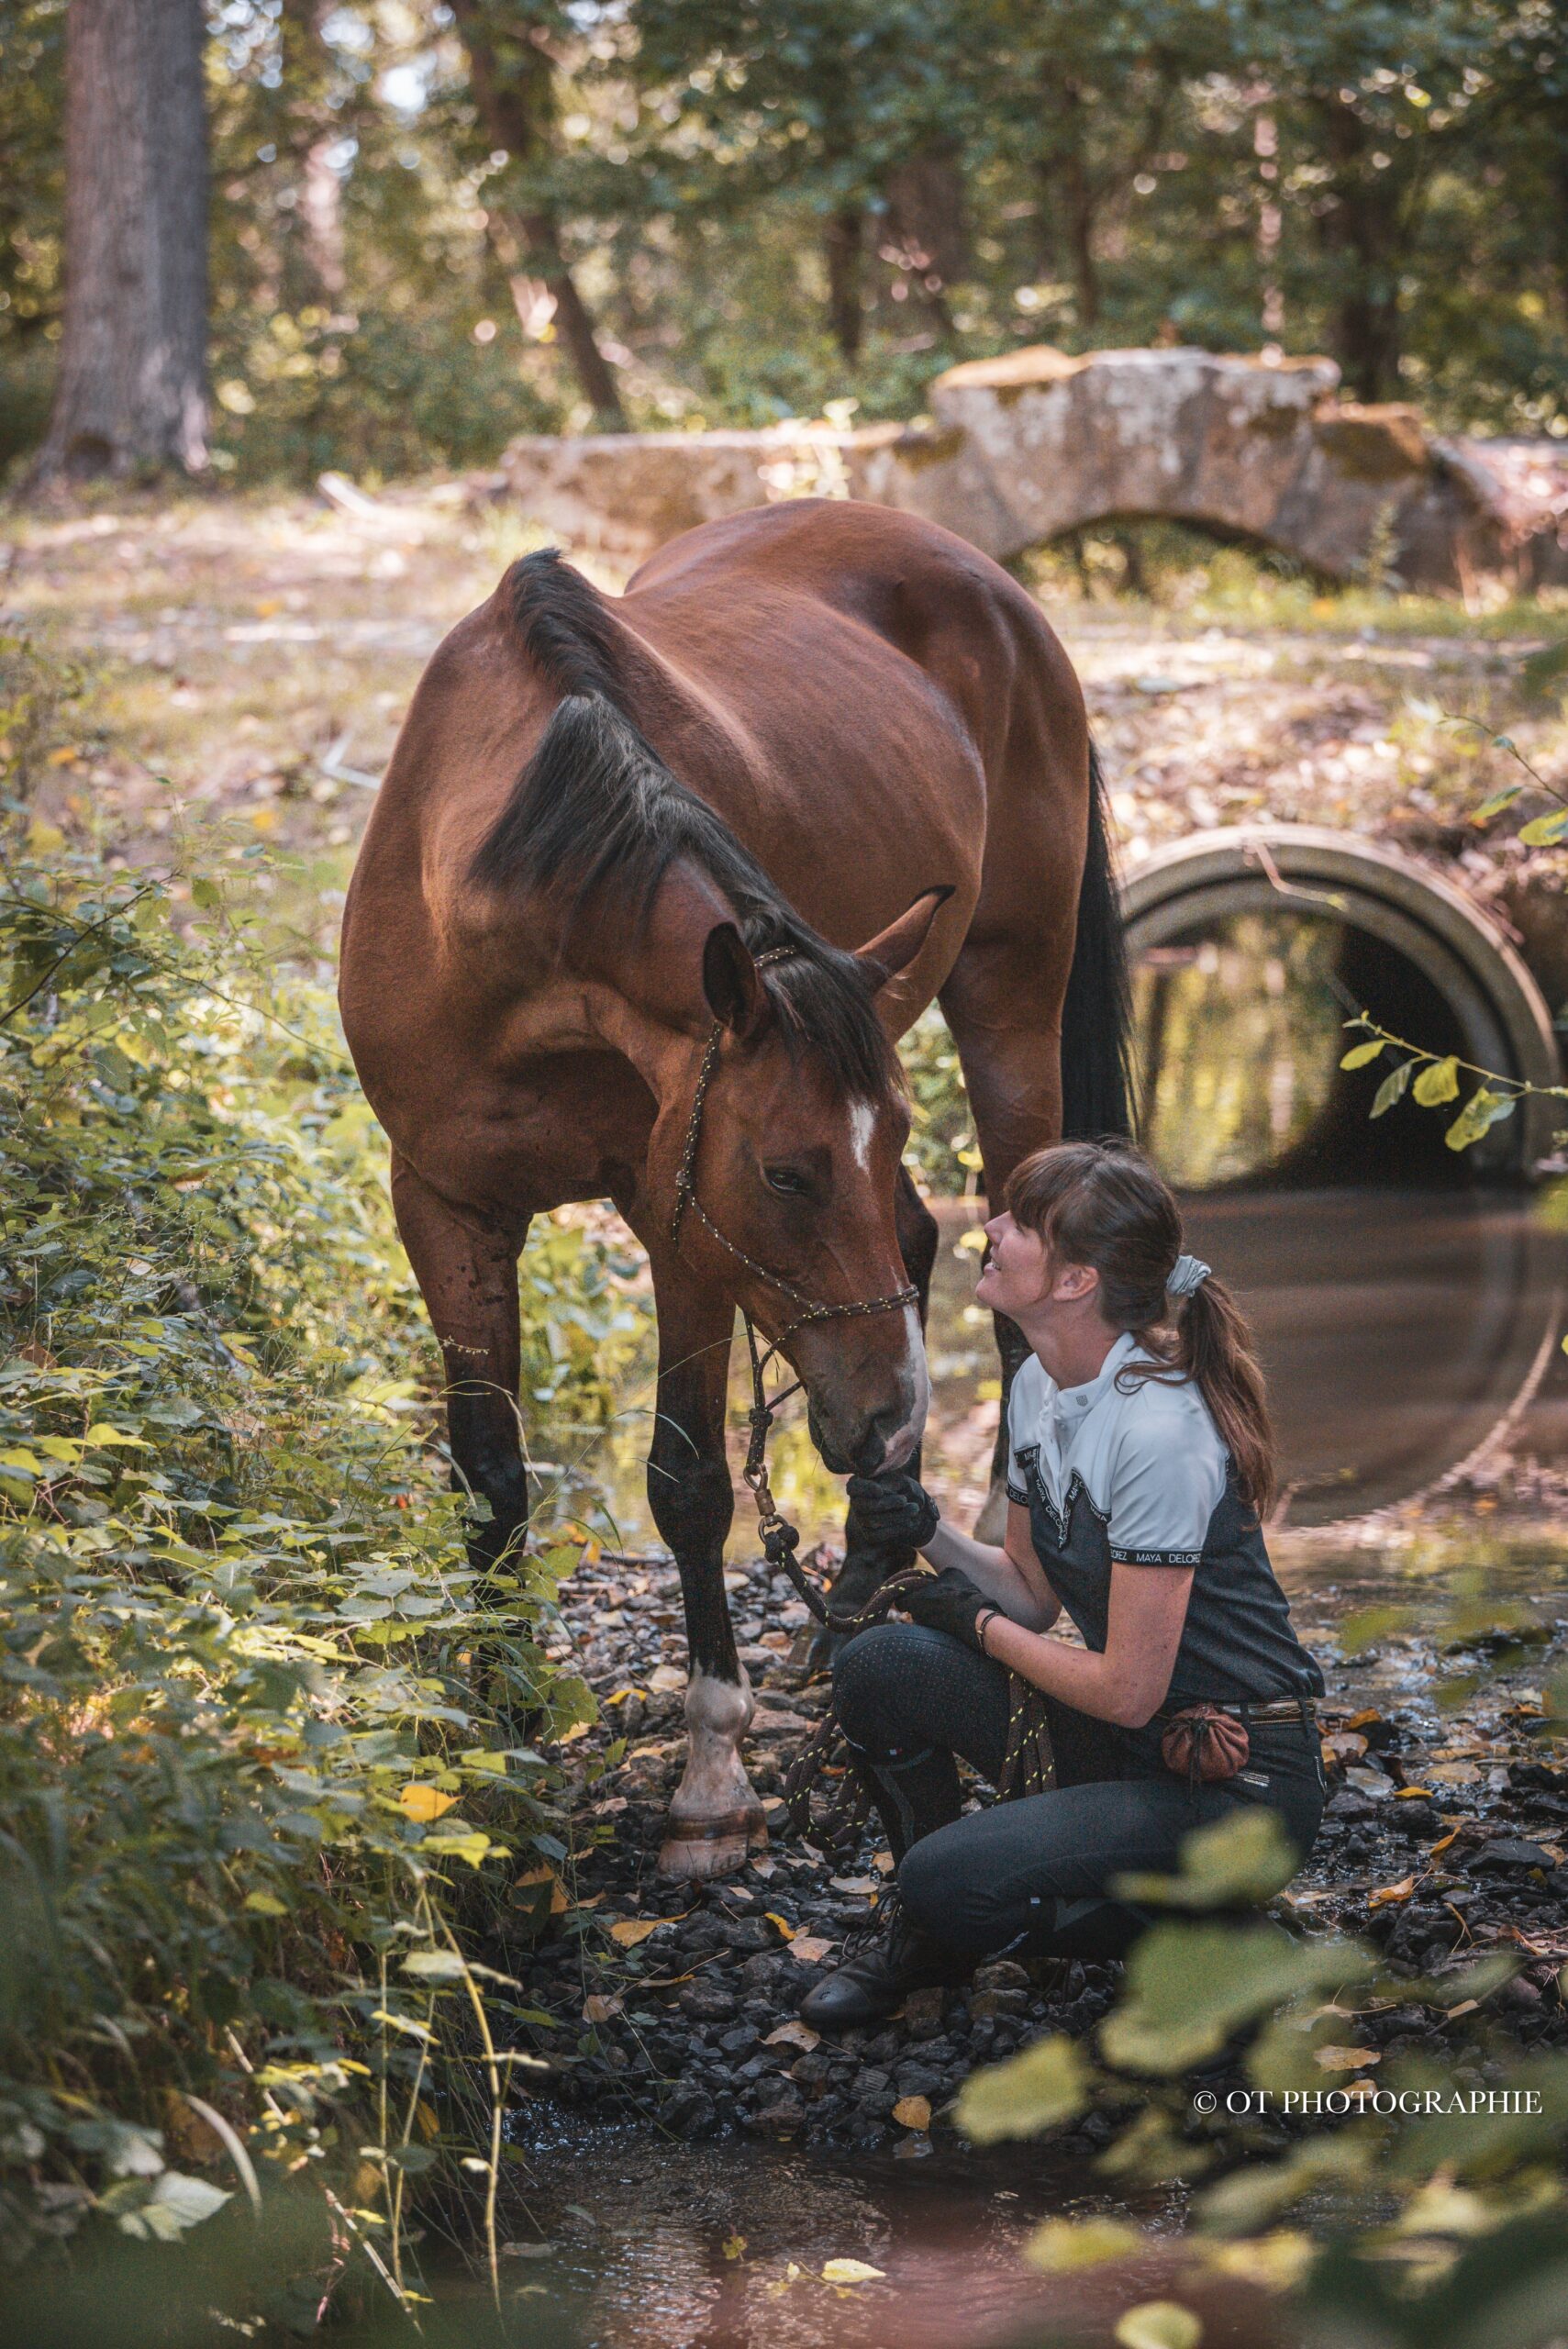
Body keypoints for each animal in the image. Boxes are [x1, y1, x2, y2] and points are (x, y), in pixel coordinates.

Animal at [338, 496, 1127, 1880]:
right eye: (785, 1170)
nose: (884, 1417)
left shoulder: (679, 1228)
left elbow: (688, 1483)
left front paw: (712, 1777)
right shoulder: (443, 1200)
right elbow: (488, 1474)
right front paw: (499, 1734)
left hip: (1006, 1009)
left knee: (1006, 1284)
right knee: (911, 1241)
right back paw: (868, 1558)